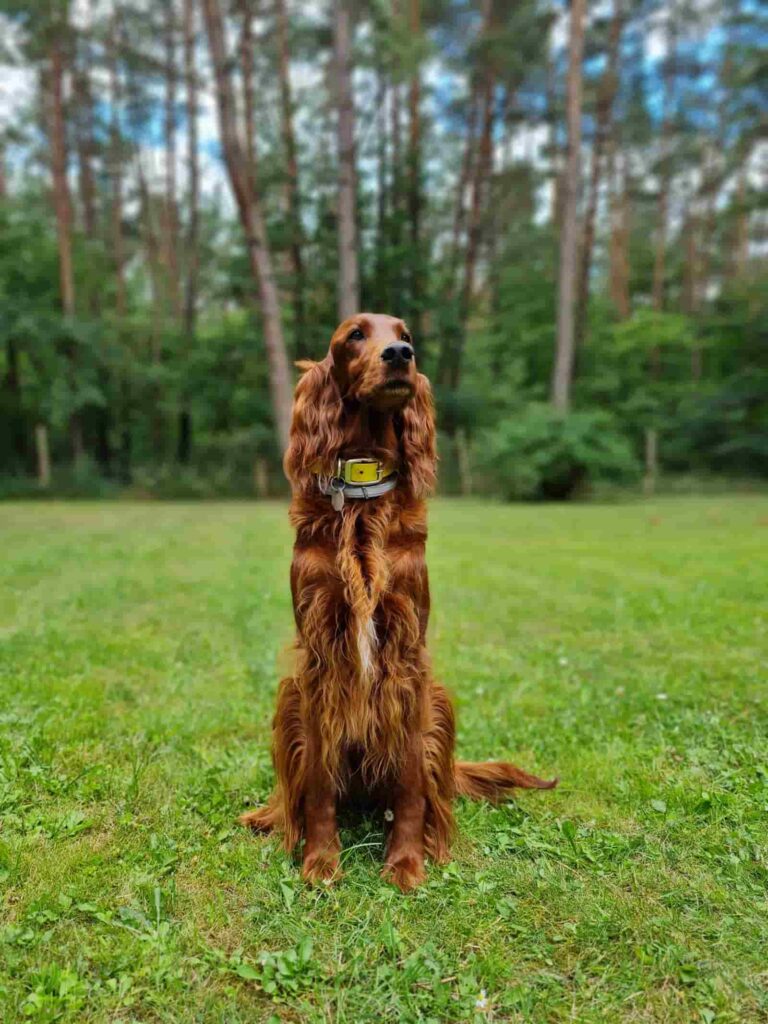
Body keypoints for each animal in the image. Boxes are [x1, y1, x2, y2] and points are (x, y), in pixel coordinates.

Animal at [243, 311, 557, 888]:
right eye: (355, 336)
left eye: (404, 333)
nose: (400, 355)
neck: (361, 494)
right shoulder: (319, 656)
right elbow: (317, 786)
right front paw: (321, 860)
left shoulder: (407, 652)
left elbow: (411, 783)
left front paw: (406, 861)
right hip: (289, 698)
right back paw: (269, 816)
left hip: (439, 702)